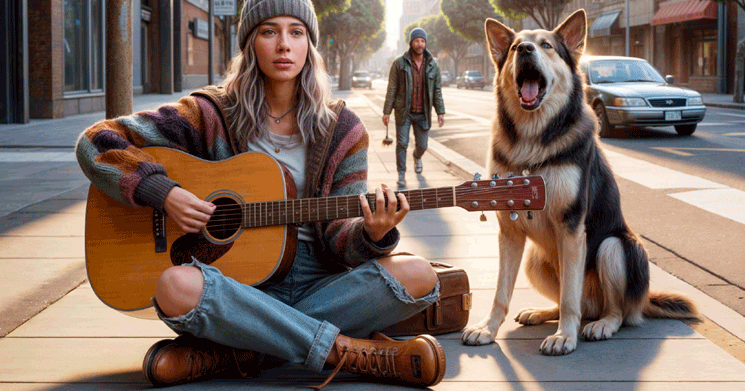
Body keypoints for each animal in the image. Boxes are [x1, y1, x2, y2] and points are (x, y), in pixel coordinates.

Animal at [460, 10, 696, 356]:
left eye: (546, 46)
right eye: (516, 46)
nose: (525, 50)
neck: (533, 139)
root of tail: (642, 301)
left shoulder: (571, 228)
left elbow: (571, 296)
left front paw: (564, 337)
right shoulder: (510, 230)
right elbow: (501, 292)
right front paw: (487, 328)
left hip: (614, 248)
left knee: (613, 311)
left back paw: (601, 324)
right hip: (534, 261)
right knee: (574, 304)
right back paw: (542, 312)